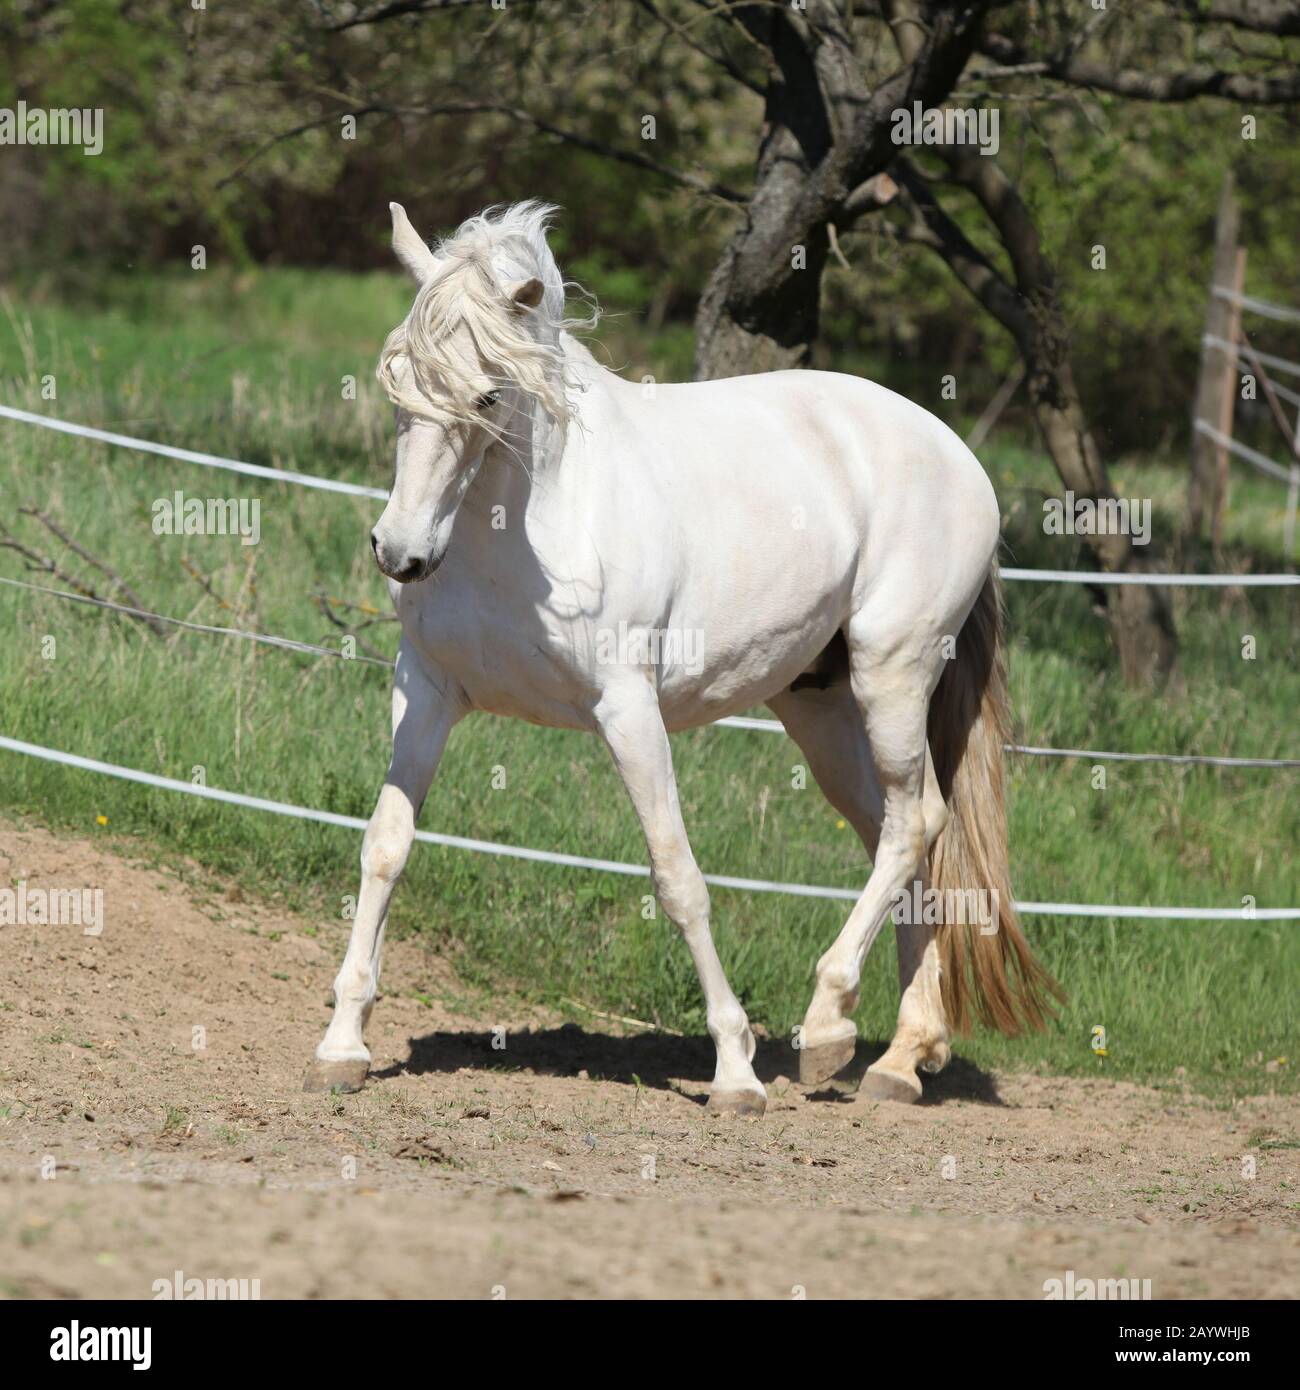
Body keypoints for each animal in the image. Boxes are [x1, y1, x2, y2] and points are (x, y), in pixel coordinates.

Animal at [303, 200, 1060, 1115]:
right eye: (395, 380)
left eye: (486, 393)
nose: (400, 552)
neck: (532, 528)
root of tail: (958, 456)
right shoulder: (427, 690)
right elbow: (385, 846)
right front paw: (343, 1044)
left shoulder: (628, 713)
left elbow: (678, 877)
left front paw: (735, 1072)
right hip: (818, 705)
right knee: (904, 830)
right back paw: (899, 1057)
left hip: (893, 675)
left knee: (913, 827)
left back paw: (828, 1026)